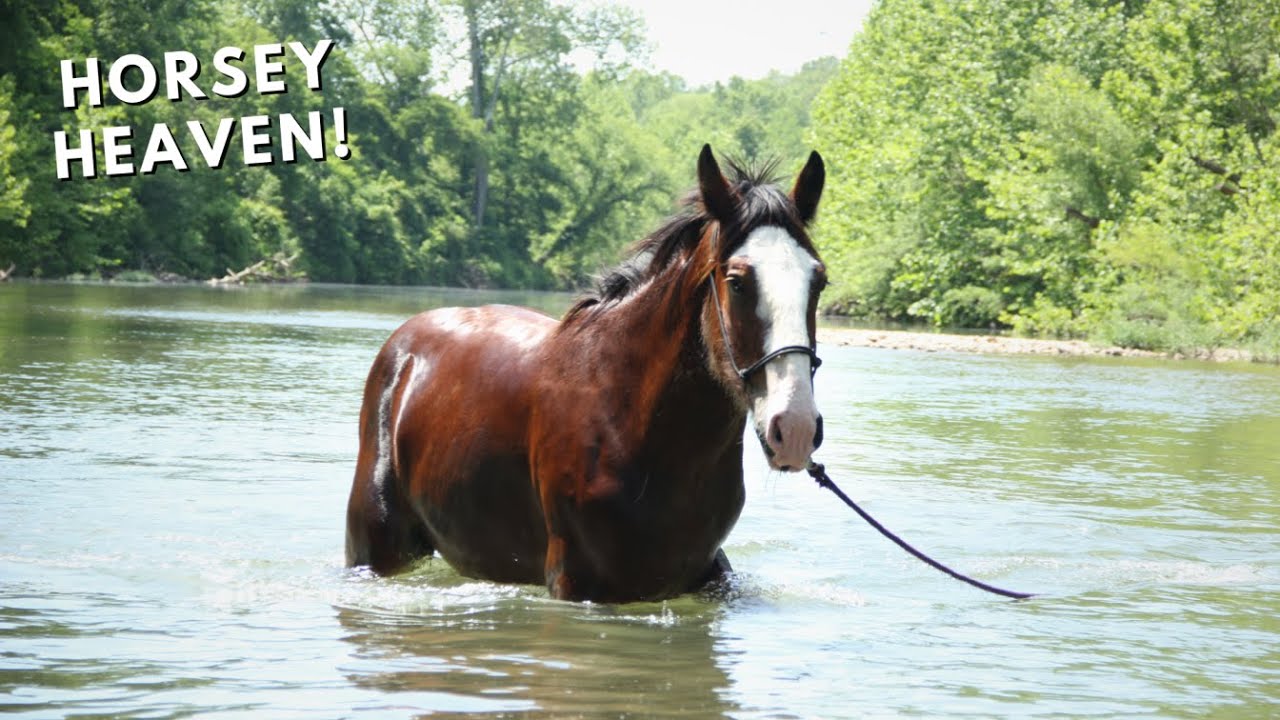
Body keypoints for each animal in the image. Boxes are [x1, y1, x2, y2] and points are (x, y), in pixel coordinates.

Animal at [345, 145, 828, 602]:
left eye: (818, 281)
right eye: (737, 281)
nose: (796, 428)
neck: (632, 419)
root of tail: (403, 345)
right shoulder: (577, 584)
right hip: (374, 548)